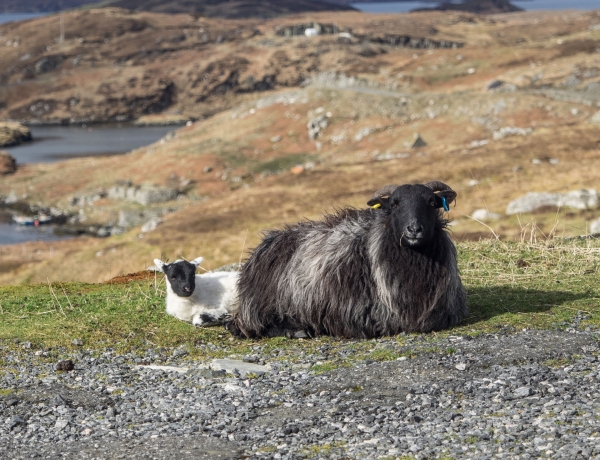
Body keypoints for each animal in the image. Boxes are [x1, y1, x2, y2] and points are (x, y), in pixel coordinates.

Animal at [227, 181, 466, 340]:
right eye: (394, 204)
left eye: (432, 202)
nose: (414, 229)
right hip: (261, 304)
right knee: (251, 326)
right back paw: (297, 330)